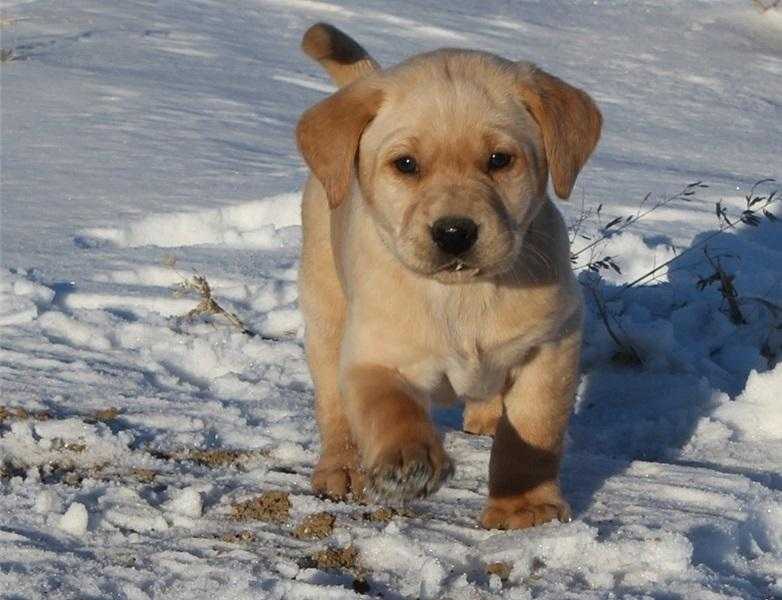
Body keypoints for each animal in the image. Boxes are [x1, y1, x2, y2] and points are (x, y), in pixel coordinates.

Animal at [298, 22, 604, 528]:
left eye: (499, 160)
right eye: (405, 165)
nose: (455, 233)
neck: (462, 296)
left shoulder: (552, 344)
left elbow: (533, 432)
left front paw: (525, 505)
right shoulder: (375, 354)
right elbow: (390, 407)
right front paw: (408, 461)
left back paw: (486, 415)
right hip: (325, 309)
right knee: (334, 407)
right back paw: (341, 468)